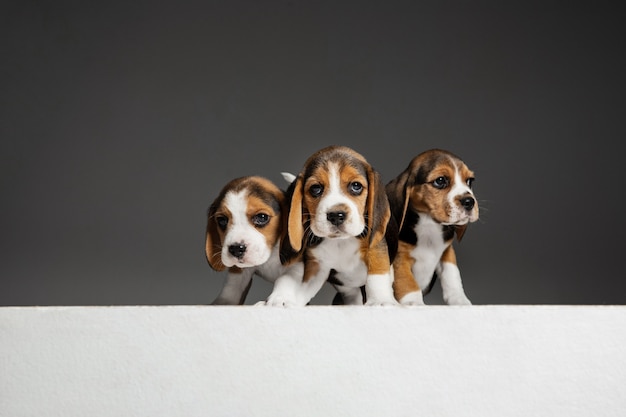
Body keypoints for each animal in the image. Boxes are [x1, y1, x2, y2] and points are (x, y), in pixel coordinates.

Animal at [205, 174, 302, 304]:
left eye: (262, 217)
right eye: (222, 220)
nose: (236, 249)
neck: (271, 254)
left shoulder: (301, 263)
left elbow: (286, 278)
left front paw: (280, 298)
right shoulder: (239, 270)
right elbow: (232, 285)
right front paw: (224, 303)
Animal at [266, 145, 398, 306]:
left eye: (356, 186)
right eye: (315, 188)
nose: (336, 216)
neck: (340, 242)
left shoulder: (376, 248)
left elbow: (377, 276)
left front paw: (380, 301)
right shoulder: (316, 267)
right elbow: (303, 288)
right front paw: (284, 300)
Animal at [386, 148, 478, 304]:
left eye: (469, 181)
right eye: (440, 181)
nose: (469, 201)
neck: (429, 226)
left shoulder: (447, 252)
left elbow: (452, 276)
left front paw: (460, 300)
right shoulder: (400, 259)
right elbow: (409, 284)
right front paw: (415, 303)